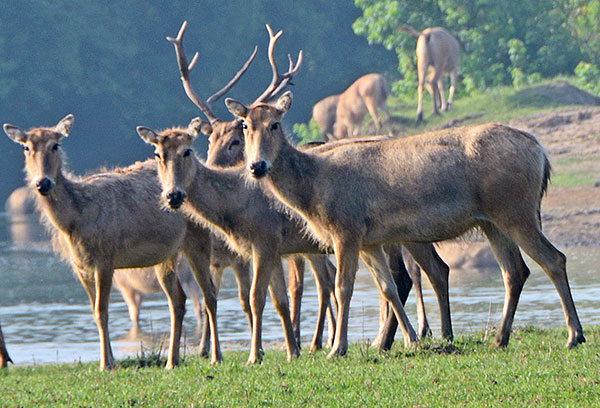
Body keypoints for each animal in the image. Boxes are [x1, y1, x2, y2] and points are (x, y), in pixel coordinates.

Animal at [3, 115, 221, 370]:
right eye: (26, 148)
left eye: (55, 145)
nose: (43, 183)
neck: (76, 220)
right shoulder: (80, 266)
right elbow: (94, 311)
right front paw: (111, 360)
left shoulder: (105, 257)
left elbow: (102, 310)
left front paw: (106, 363)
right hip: (166, 253)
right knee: (178, 299)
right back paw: (171, 361)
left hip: (199, 237)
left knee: (209, 292)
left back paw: (215, 356)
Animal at [166, 20, 340, 350]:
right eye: (210, 139)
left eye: (235, 141)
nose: (212, 164)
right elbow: (223, 298)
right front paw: (206, 350)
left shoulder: (259, 249)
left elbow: (254, 299)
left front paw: (262, 348)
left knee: (326, 282)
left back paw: (318, 341)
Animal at [225, 90, 584, 356]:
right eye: (245, 125)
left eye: (275, 124)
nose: (257, 166)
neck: (313, 192)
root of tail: (541, 152)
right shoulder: (369, 238)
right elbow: (387, 287)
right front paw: (407, 340)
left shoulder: (347, 228)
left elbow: (344, 287)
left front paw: (337, 349)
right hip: (493, 222)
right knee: (515, 271)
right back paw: (500, 338)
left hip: (515, 209)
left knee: (554, 259)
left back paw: (574, 335)